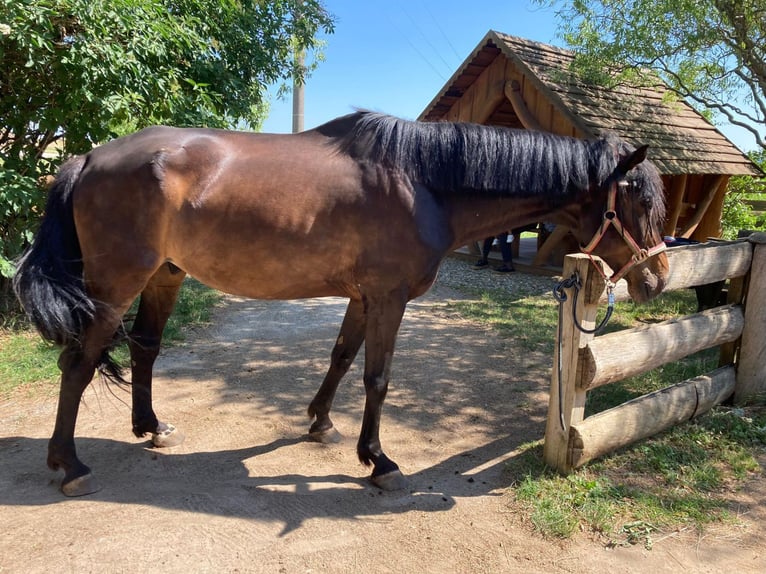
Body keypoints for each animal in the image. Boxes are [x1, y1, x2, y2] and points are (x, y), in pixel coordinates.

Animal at [15, 111, 668, 496]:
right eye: (639, 203)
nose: (657, 278)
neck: (423, 183)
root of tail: (86, 158)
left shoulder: (362, 297)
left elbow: (341, 357)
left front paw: (321, 423)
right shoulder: (389, 298)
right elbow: (377, 377)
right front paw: (378, 460)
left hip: (163, 276)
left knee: (146, 350)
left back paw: (152, 428)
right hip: (113, 285)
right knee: (76, 365)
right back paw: (68, 465)